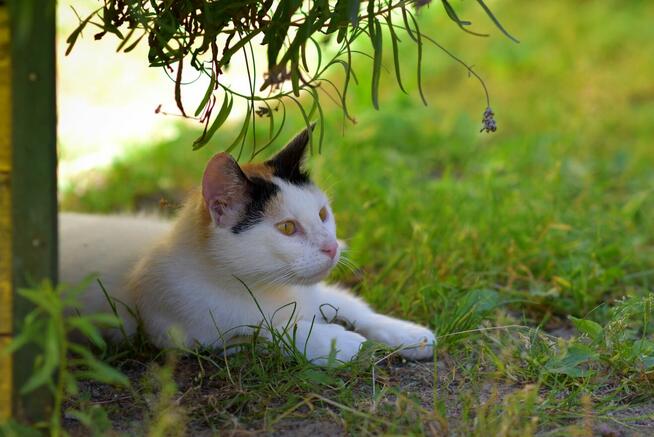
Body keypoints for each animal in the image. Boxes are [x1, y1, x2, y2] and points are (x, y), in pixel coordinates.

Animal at [61, 127, 438, 364]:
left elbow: (354, 307)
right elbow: (266, 331)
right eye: (287, 228)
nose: (331, 247)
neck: (271, 291)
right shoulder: (181, 333)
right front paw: (336, 342)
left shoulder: (315, 292)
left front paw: (406, 332)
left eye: (322, 214)